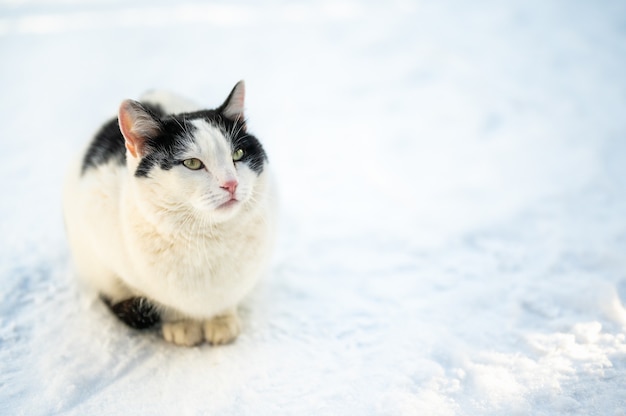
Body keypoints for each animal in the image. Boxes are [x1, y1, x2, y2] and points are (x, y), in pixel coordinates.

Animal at [62, 82, 272, 348]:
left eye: (238, 154)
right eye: (192, 163)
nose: (231, 184)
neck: (209, 237)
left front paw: (222, 320)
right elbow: (167, 301)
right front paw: (182, 324)